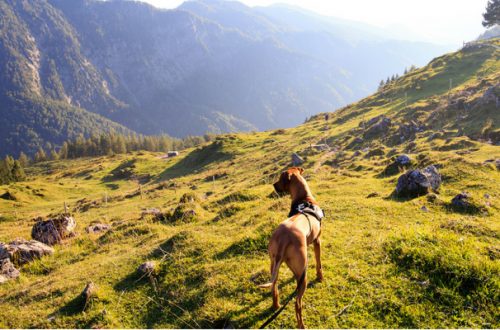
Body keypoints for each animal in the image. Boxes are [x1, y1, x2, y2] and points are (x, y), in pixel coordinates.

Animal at [258, 169, 324, 328]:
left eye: (280, 179)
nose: (273, 185)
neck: (304, 199)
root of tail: (284, 239)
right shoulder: (317, 241)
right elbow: (319, 263)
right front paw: (320, 278)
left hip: (274, 264)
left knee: (274, 288)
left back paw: (275, 306)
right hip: (302, 273)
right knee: (297, 304)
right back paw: (301, 325)